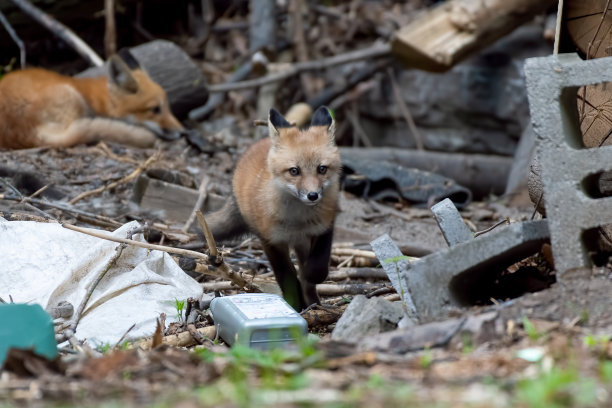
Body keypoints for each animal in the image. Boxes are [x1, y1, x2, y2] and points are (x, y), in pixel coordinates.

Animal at [207, 107, 342, 310]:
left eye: (322, 169)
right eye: (294, 171)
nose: (312, 195)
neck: (298, 220)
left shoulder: (325, 227)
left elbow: (316, 268)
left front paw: (310, 281)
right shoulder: (271, 240)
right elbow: (287, 276)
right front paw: (295, 304)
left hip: (303, 242)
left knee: (305, 272)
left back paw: (314, 302)